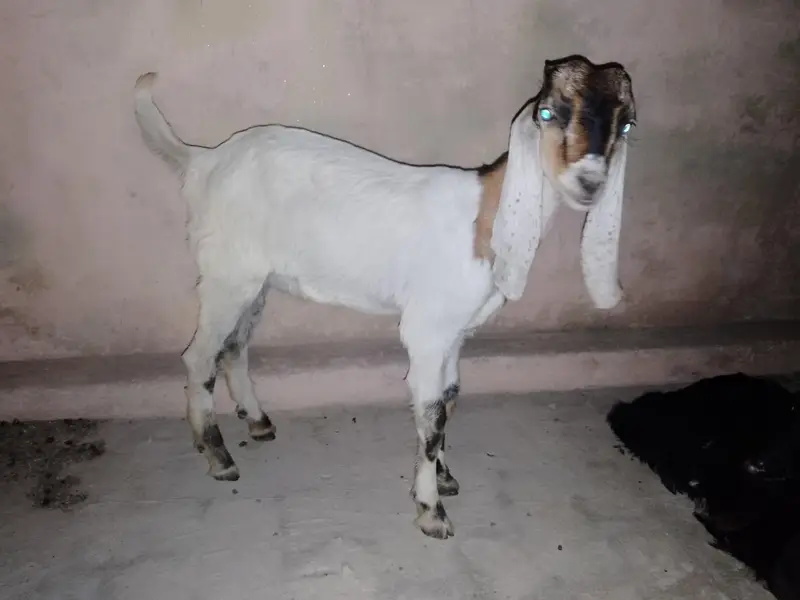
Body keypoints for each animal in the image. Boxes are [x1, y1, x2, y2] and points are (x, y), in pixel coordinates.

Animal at [133, 54, 636, 540]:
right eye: (548, 112)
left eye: (626, 124)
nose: (589, 183)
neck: (484, 218)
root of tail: (203, 161)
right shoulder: (427, 329)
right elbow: (431, 416)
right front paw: (432, 512)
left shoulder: (455, 332)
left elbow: (449, 399)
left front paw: (444, 478)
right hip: (226, 274)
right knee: (199, 357)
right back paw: (218, 457)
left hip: (253, 282)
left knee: (233, 347)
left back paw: (258, 422)